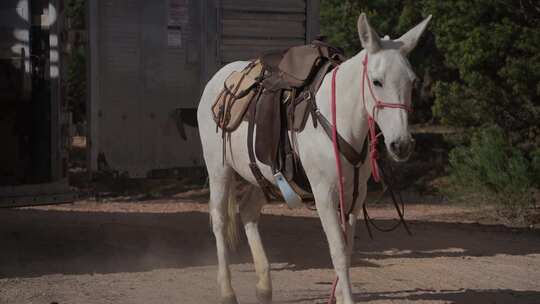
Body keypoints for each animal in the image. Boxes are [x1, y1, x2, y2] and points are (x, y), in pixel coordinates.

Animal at [197, 12, 430, 304]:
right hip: (219, 169)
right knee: (218, 219)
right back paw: (227, 291)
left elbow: (347, 249)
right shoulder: (325, 195)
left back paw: (264, 286)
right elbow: (338, 251)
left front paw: (339, 296)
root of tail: (217, 80)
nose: (401, 144)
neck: (338, 119)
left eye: (412, 82)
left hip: (261, 175)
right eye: (377, 81)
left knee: (248, 212)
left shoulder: (355, 196)